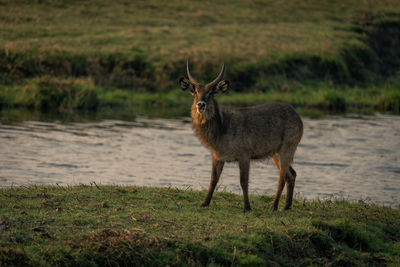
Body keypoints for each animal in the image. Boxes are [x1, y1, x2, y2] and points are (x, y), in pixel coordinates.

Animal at [179, 59, 304, 213]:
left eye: (211, 93)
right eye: (195, 91)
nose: (200, 104)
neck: (222, 130)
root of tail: (298, 116)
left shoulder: (244, 155)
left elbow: (243, 181)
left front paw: (247, 207)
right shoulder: (217, 156)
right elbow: (213, 179)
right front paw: (204, 203)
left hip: (287, 147)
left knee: (282, 177)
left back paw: (274, 206)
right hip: (275, 153)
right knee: (291, 174)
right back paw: (286, 206)